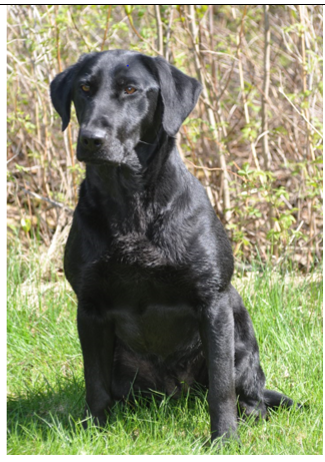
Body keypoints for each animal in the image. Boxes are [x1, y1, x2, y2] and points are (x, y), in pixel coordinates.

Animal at [50, 50, 296, 444]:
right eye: (84, 88)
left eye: (130, 89)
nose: (91, 138)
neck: (132, 204)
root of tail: (173, 393)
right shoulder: (89, 308)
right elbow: (94, 383)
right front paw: (93, 434)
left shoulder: (213, 301)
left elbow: (221, 386)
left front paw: (224, 440)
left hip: (240, 337)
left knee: (251, 396)